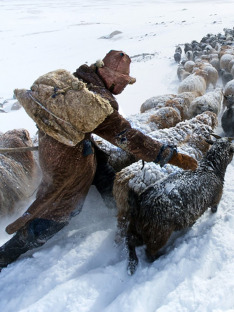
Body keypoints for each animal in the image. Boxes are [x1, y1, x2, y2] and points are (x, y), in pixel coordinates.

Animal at [118, 135, 234, 274]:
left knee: (130, 241)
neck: (210, 167)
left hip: (138, 228)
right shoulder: (216, 199)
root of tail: (139, 204)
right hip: (157, 234)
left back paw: (132, 262)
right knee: (149, 252)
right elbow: (214, 209)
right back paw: (159, 257)